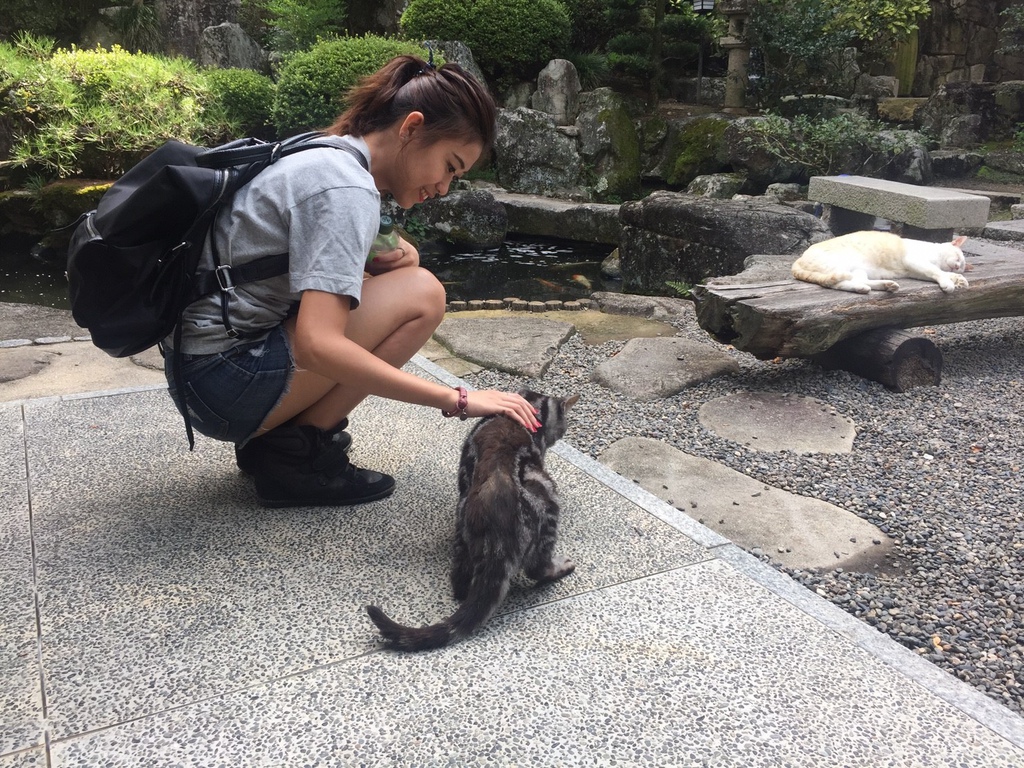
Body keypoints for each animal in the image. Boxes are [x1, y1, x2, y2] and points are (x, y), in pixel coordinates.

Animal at [366, 390, 580, 651]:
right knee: (537, 568)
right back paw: (560, 567)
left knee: (459, 583)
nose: (560, 435)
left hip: (463, 524)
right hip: (547, 502)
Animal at [791, 231, 970, 294]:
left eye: (960, 266)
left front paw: (958, 279)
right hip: (841, 266)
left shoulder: (916, 271)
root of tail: (798, 259)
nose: (957, 266)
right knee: (834, 283)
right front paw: (949, 283)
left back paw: (884, 286)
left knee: (856, 281)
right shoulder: (916, 261)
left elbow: (941, 272)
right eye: (958, 258)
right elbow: (937, 272)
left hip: (858, 270)